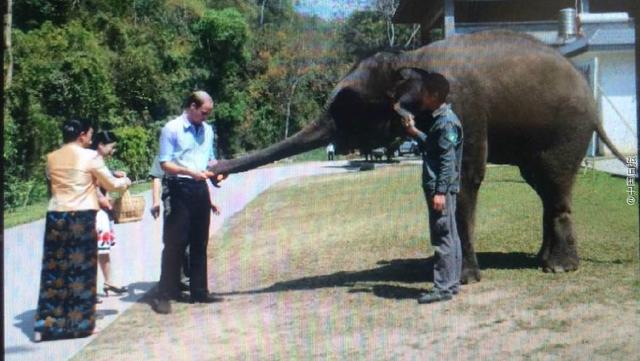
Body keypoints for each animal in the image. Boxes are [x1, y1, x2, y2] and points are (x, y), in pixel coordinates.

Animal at [211, 30, 624, 284]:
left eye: (348, 108)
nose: (214, 171)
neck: (411, 58)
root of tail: (589, 92)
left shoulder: (465, 108)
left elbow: (462, 177)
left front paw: (463, 280)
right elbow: (433, 178)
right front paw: (436, 270)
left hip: (566, 130)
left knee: (553, 184)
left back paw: (558, 269)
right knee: (540, 184)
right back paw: (542, 260)